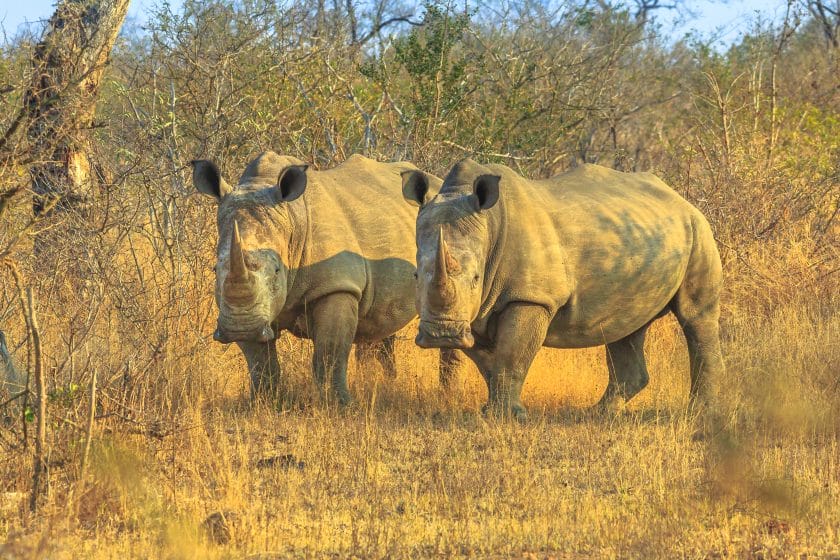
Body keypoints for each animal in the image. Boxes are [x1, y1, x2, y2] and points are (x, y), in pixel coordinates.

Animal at [193, 151, 462, 400]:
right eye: (215, 270)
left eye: (278, 271)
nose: (240, 329)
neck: (291, 218)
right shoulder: (248, 310)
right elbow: (260, 361)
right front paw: (263, 402)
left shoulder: (337, 285)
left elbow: (330, 352)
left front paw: (338, 404)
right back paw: (381, 384)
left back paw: (447, 393)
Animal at [400, 160, 720, 418]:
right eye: (415, 275)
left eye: (477, 278)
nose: (443, 334)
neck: (488, 224)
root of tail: (680, 198)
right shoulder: (475, 310)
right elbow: (488, 361)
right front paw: (491, 410)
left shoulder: (530, 297)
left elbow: (512, 355)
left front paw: (508, 416)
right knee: (625, 327)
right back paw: (600, 413)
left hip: (699, 229)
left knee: (696, 318)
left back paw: (701, 412)